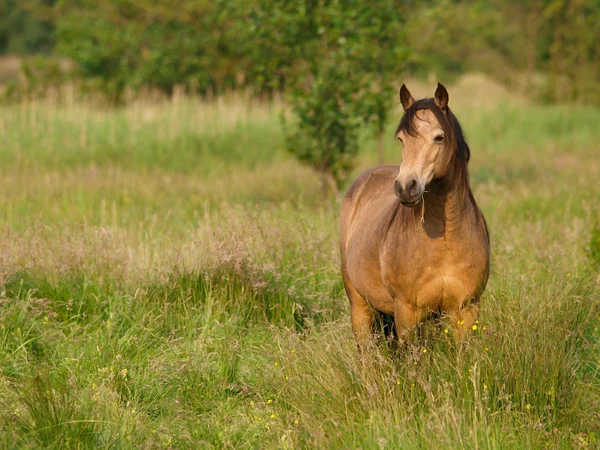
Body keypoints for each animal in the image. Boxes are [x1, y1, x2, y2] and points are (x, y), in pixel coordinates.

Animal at [340, 82, 490, 346]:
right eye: (402, 139)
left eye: (439, 137)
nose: (405, 187)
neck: (446, 237)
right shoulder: (406, 312)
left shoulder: (466, 309)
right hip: (359, 306)